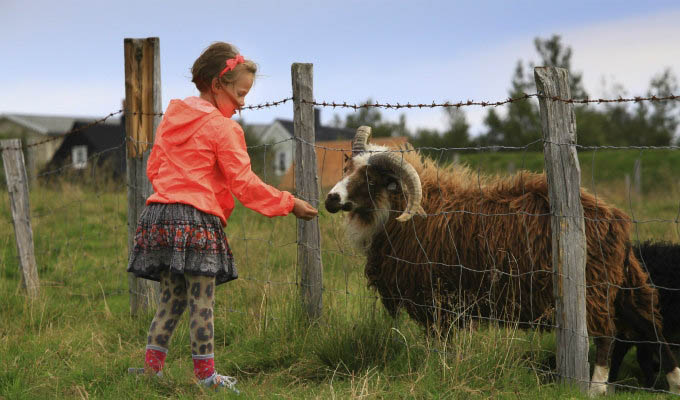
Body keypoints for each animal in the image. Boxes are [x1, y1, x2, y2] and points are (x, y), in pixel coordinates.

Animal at [324, 126, 680, 396]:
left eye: (370, 180)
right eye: (346, 170)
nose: (331, 199)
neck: (403, 213)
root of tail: (614, 220)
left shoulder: (435, 298)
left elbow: (438, 344)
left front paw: (438, 372)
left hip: (592, 287)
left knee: (608, 335)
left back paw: (596, 388)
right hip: (622, 283)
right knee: (651, 324)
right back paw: (673, 381)